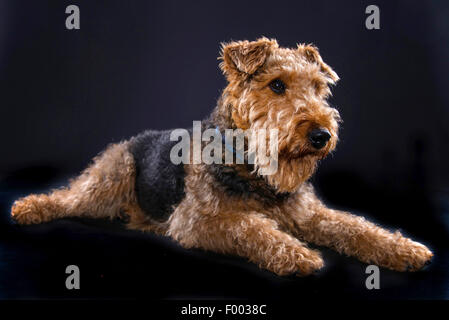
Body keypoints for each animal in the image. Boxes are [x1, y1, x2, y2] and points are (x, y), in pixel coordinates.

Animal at [10, 38, 432, 276]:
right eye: (276, 85)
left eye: (317, 87)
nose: (321, 136)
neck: (254, 171)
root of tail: (134, 138)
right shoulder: (196, 221)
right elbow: (251, 227)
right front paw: (296, 254)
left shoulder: (307, 213)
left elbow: (355, 226)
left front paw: (404, 249)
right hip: (107, 182)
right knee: (65, 198)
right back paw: (27, 207)